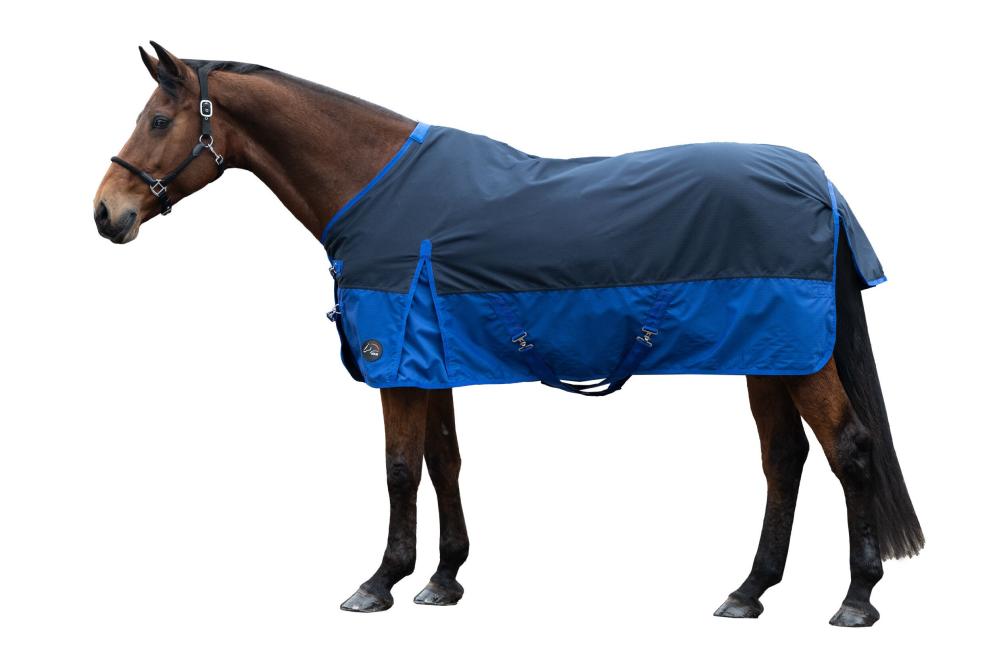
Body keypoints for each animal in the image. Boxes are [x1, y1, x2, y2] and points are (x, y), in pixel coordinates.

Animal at [92, 42, 923, 626]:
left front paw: (379, 582)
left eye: (159, 119)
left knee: (848, 450)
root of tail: (816, 181)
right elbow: (444, 461)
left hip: (796, 358)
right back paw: (749, 590)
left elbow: (400, 469)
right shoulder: (431, 360)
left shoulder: (398, 362)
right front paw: (443, 577)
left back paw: (856, 598)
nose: (107, 212)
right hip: (770, 354)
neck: (375, 185)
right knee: (784, 459)